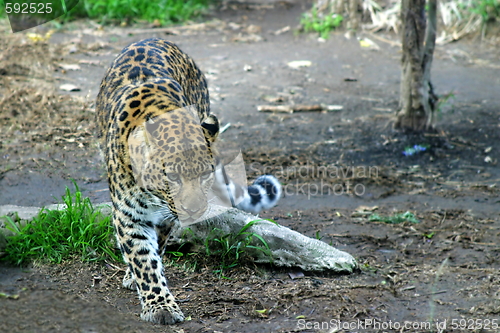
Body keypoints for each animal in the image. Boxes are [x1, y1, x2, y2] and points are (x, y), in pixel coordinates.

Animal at [94, 37, 282, 322]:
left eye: (205, 174)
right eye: (171, 176)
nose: (193, 210)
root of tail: (155, 38)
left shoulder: (164, 218)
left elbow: (155, 249)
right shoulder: (129, 214)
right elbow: (143, 259)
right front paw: (159, 306)